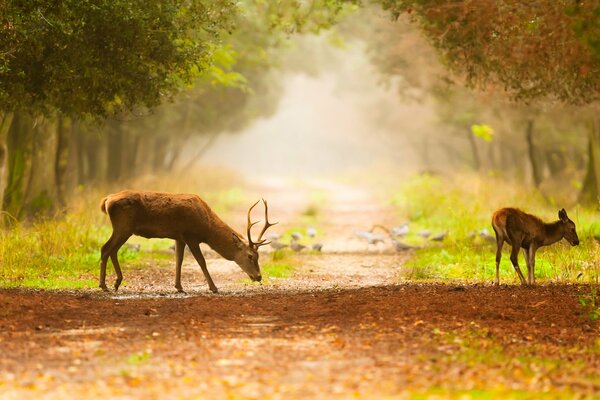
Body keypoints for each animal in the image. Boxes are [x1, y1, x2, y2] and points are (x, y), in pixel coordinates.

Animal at [99, 191, 276, 294]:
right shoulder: (191, 235)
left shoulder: (179, 237)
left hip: (123, 228)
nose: (258, 276)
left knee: (111, 250)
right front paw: (213, 287)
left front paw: (179, 287)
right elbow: (201, 261)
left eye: (259, 256)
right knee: (106, 248)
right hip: (124, 226)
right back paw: (104, 285)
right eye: (250, 256)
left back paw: (116, 283)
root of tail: (106, 200)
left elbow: (179, 260)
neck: (206, 228)